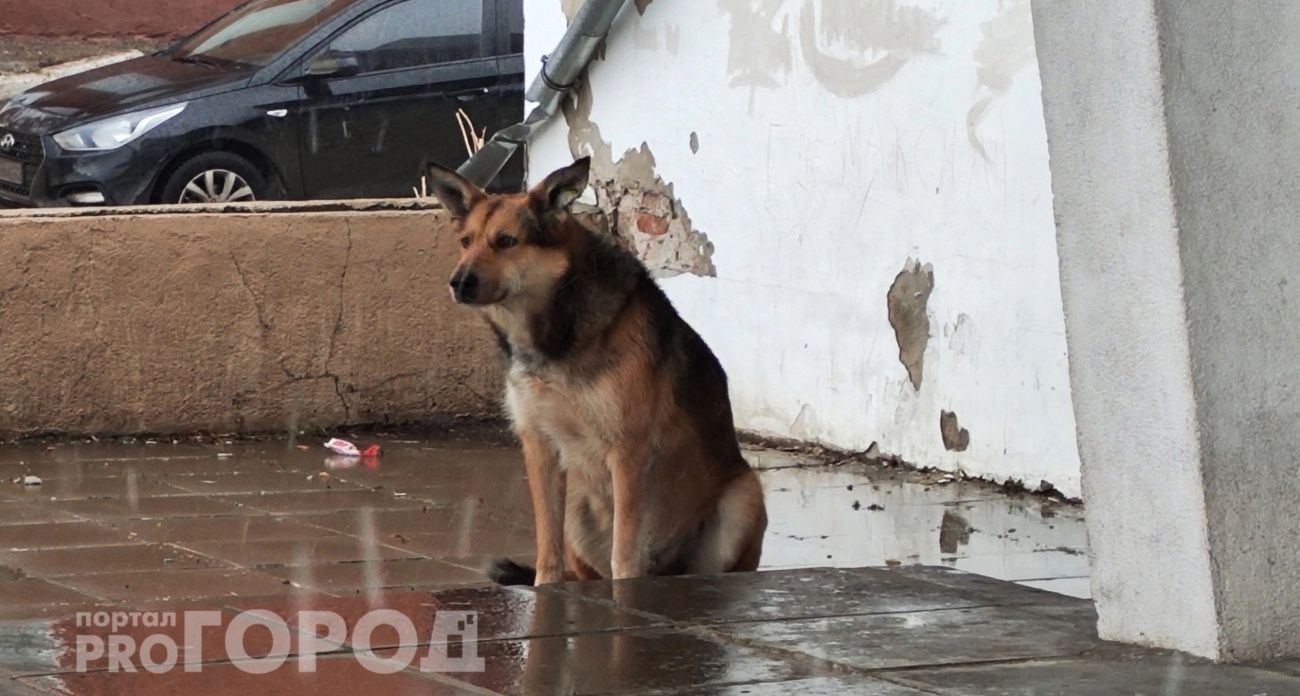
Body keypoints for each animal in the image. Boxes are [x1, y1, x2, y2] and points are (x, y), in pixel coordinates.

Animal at [426, 155, 764, 585]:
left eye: (506, 242)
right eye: (466, 242)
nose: (458, 282)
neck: (555, 333)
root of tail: (667, 571)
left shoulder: (628, 450)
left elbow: (625, 553)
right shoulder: (538, 447)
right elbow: (547, 552)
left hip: (744, 498)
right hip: (576, 504)